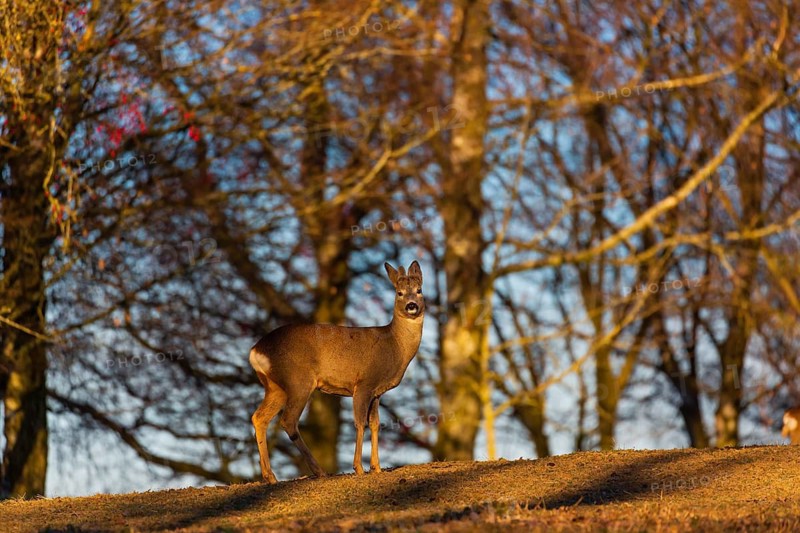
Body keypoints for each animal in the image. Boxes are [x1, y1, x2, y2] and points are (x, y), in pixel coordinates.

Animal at [249, 261, 425, 483]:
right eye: (399, 293)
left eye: (419, 290)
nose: (412, 305)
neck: (394, 345)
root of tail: (255, 351)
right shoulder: (364, 383)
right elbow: (360, 423)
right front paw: (359, 468)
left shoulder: (377, 392)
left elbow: (375, 423)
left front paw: (376, 468)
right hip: (298, 380)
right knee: (288, 421)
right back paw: (318, 471)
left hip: (275, 387)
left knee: (259, 417)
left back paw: (270, 476)